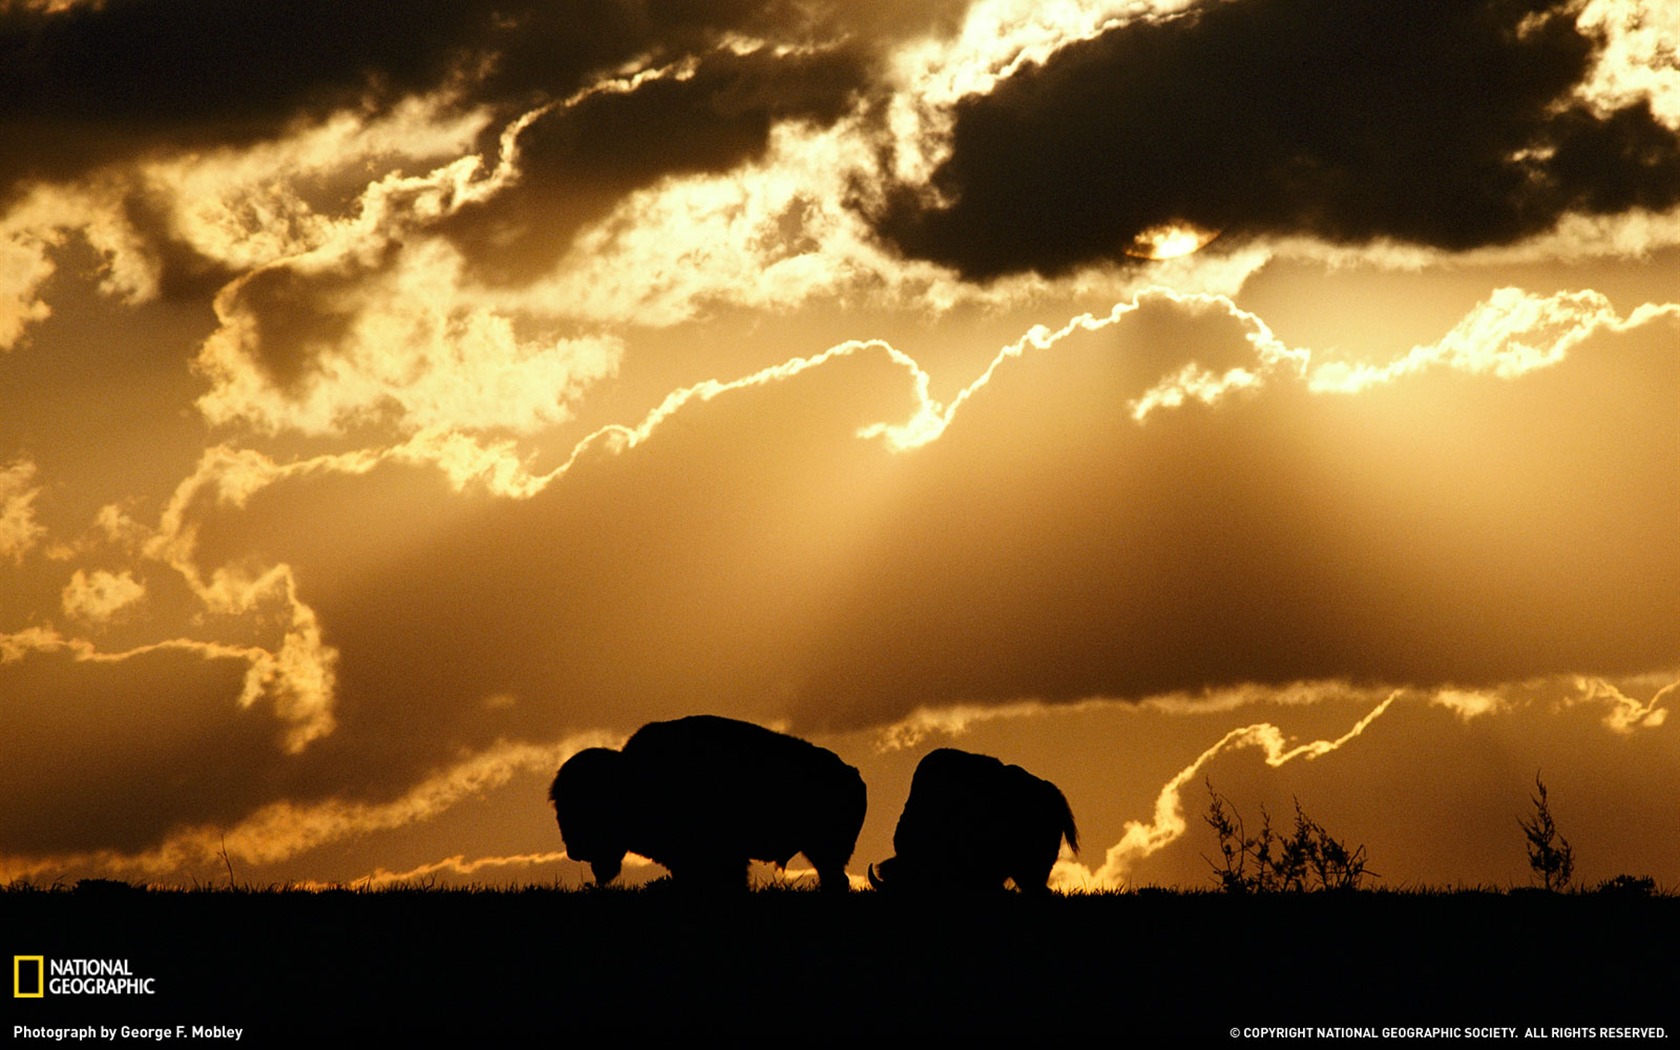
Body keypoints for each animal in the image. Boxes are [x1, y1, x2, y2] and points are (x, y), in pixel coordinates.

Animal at [551, 712, 866, 893]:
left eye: (585, 804)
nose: (573, 850)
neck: (631, 778)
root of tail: (853, 774)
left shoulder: (723, 858)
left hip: (826, 850)